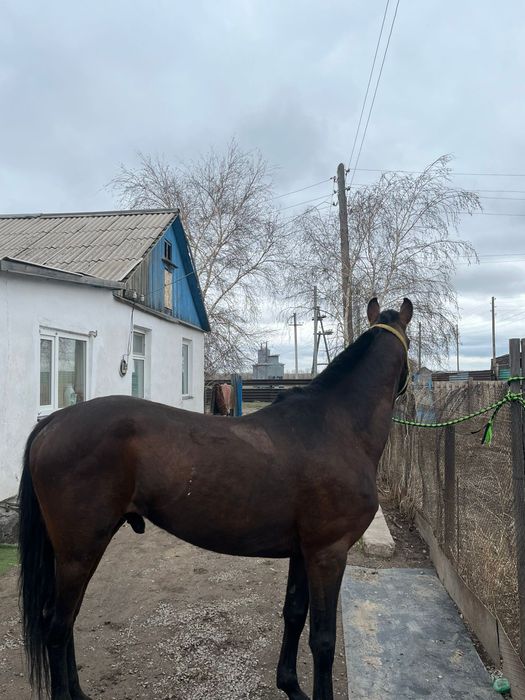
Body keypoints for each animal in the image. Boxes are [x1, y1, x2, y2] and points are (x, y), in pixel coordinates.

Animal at [18, 297, 412, 700]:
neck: (336, 426)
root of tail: (54, 421)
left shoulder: (305, 552)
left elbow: (293, 614)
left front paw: (290, 686)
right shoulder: (328, 554)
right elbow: (323, 640)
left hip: (82, 550)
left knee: (67, 620)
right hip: (79, 552)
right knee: (57, 626)